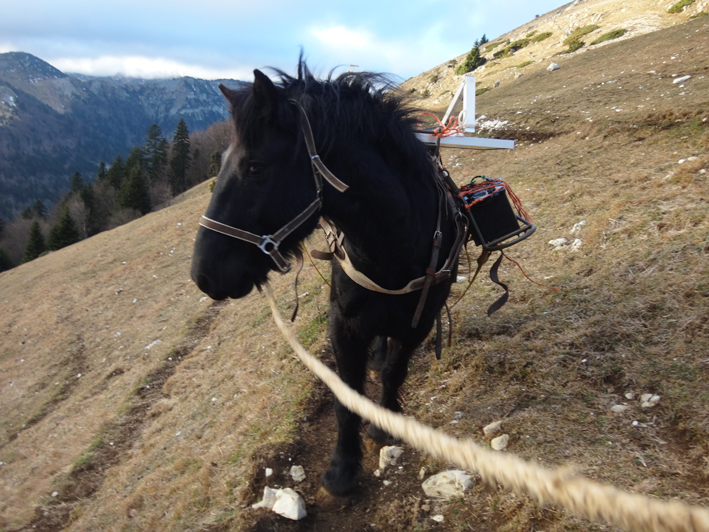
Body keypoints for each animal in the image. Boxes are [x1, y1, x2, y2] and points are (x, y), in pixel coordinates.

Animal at [191, 60, 462, 500]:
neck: (395, 248)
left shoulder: (420, 322)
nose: (202, 275)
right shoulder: (343, 324)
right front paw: (342, 470)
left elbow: (395, 372)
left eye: (255, 167)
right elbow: (348, 395)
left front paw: (384, 425)